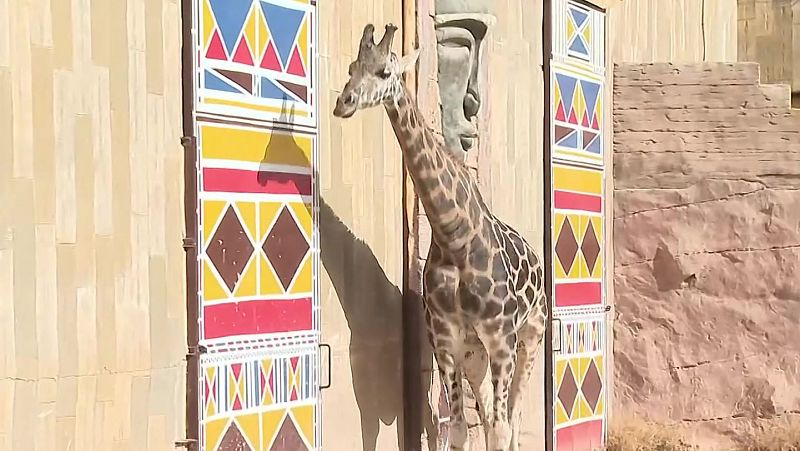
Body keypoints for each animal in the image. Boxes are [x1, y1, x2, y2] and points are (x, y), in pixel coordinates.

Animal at [332, 24, 548, 451]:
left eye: (384, 71)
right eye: (351, 67)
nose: (344, 103)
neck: (454, 236)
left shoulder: (502, 337)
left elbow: (500, 428)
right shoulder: (447, 340)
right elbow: (461, 428)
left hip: (531, 336)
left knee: (512, 418)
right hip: (475, 353)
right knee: (487, 414)